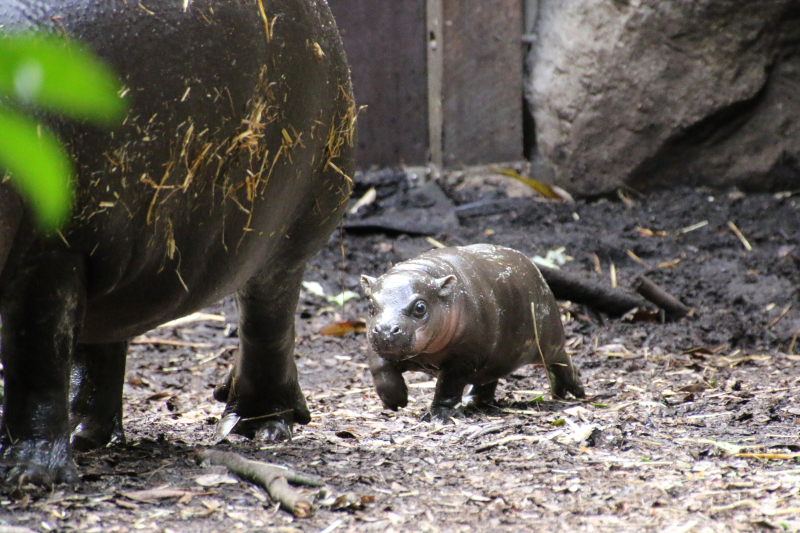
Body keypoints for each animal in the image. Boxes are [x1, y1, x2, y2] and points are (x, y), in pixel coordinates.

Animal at [0, 0, 354, 484]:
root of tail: (329, 22)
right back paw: (83, 435)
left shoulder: (50, 252)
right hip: (114, 243)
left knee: (267, 320)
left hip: (286, 235)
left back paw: (259, 428)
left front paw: (27, 477)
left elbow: (37, 357)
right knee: (103, 336)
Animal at [360, 244, 585, 421]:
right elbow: (382, 371)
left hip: (549, 341)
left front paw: (439, 416)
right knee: (488, 380)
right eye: (370, 304)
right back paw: (472, 401)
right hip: (497, 357)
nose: (386, 329)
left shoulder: (463, 359)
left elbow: (448, 386)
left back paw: (573, 393)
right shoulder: (377, 348)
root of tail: (535, 269)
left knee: (562, 362)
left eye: (420, 307)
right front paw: (396, 402)